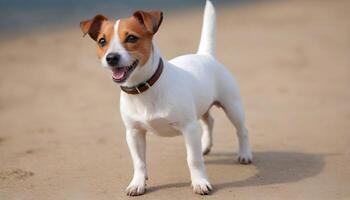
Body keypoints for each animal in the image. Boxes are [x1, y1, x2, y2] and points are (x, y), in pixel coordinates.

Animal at [80, 0, 253, 196]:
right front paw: (138, 183)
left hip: (232, 106)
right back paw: (205, 146)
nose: (111, 58)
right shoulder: (133, 133)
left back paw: (244, 154)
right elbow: (139, 162)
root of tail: (205, 55)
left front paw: (200, 182)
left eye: (131, 38)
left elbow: (193, 159)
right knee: (209, 121)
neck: (144, 89)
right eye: (102, 41)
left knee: (242, 130)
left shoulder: (189, 128)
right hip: (202, 107)